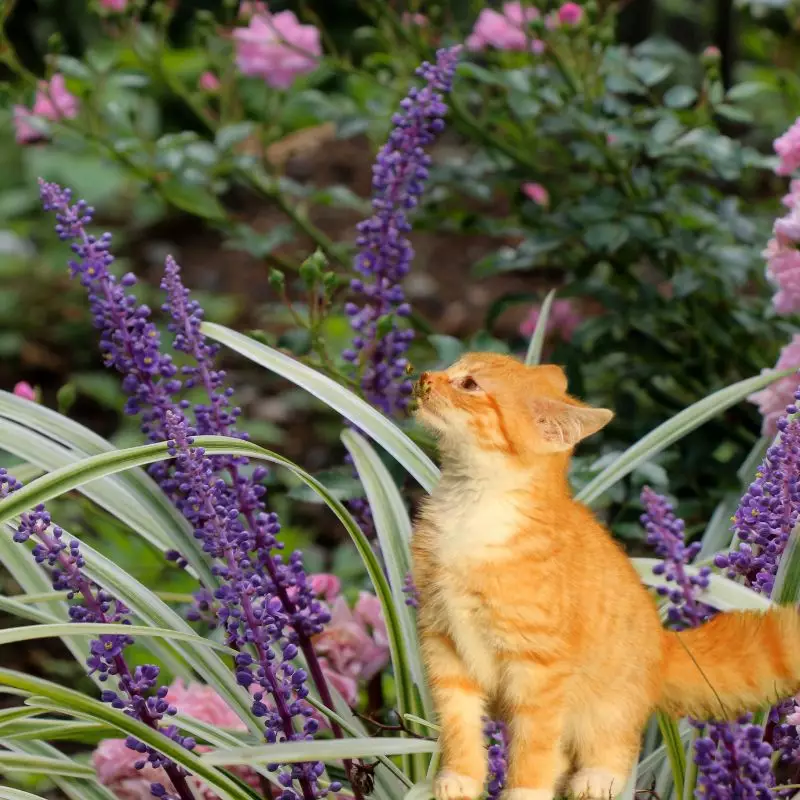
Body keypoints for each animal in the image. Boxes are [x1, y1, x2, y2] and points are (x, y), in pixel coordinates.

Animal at [410, 354, 800, 800]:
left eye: (470, 384)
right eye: (450, 368)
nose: (424, 378)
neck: (472, 509)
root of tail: (661, 642)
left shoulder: (539, 666)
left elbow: (534, 742)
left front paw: (524, 791)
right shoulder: (444, 642)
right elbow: (459, 723)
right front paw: (461, 777)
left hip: (607, 704)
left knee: (613, 742)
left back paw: (599, 777)